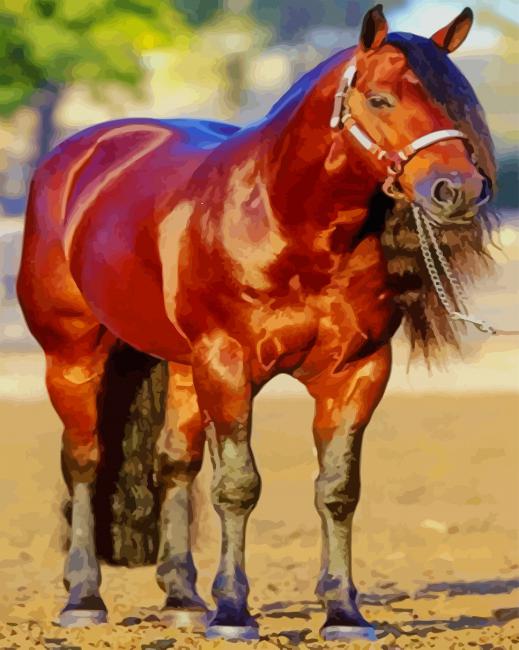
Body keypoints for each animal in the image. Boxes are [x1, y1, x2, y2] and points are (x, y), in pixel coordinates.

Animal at [17, 4, 495, 641]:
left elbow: (337, 490)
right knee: (85, 462)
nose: (458, 190)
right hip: (72, 356)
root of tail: (75, 157)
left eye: (456, 100)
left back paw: (182, 599)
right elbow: (238, 487)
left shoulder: (358, 371)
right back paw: (84, 599)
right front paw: (234, 614)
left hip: (182, 367)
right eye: (379, 99)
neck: (287, 222)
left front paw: (344, 613)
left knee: (173, 465)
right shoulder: (229, 365)